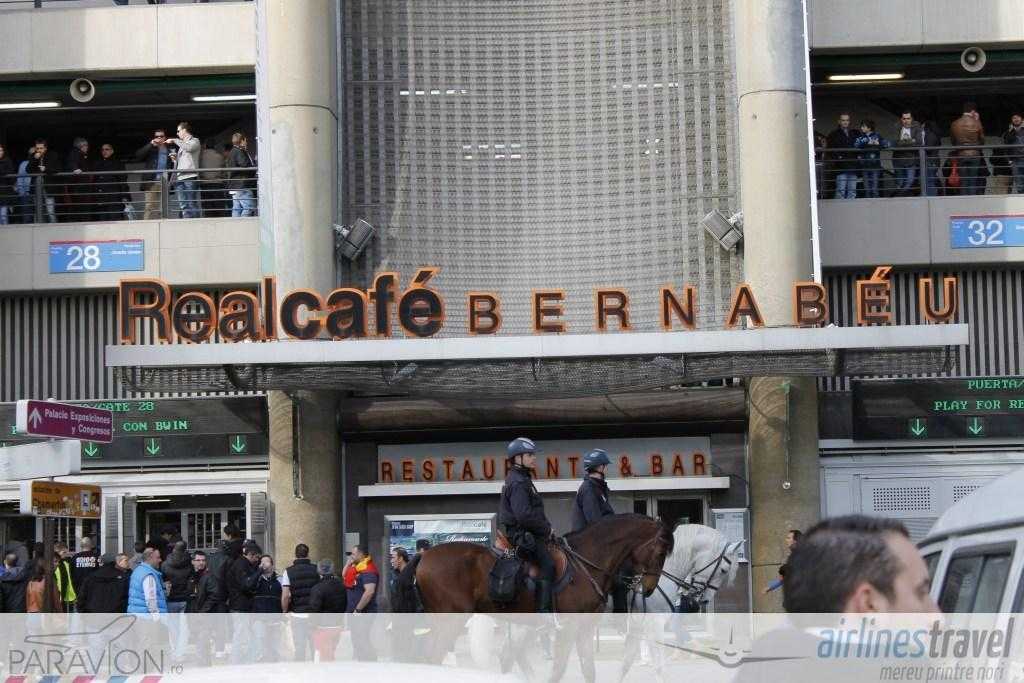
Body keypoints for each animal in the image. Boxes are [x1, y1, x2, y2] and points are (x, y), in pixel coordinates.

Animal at [414, 513, 674, 681]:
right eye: (661, 552)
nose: (649, 589)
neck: (586, 563)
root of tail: (424, 557)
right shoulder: (568, 628)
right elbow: (558, 670)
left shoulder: (585, 629)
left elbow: (590, 670)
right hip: (451, 620)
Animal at [618, 524, 744, 683]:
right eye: (723, 570)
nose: (705, 600)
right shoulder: (654, 623)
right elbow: (659, 666)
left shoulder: (637, 623)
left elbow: (625, 663)